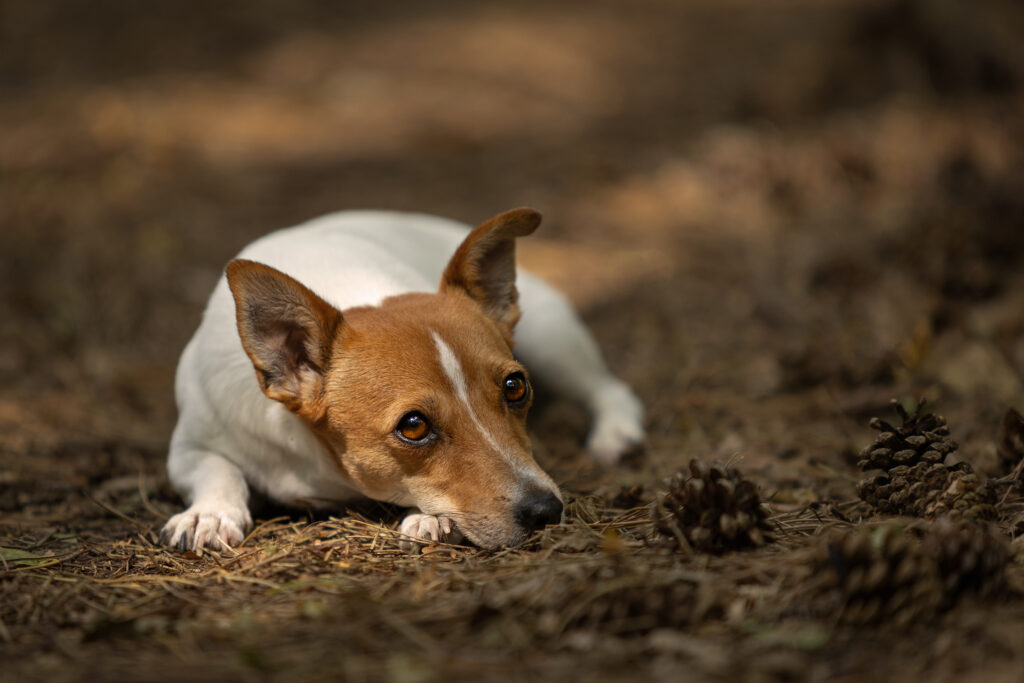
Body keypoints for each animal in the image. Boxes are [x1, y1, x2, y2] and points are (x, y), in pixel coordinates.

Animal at [158, 206, 638, 548]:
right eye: (413, 426)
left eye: (515, 387)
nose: (546, 510)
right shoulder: (188, 447)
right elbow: (216, 469)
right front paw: (209, 513)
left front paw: (430, 518)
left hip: (550, 336)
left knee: (608, 387)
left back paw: (617, 434)